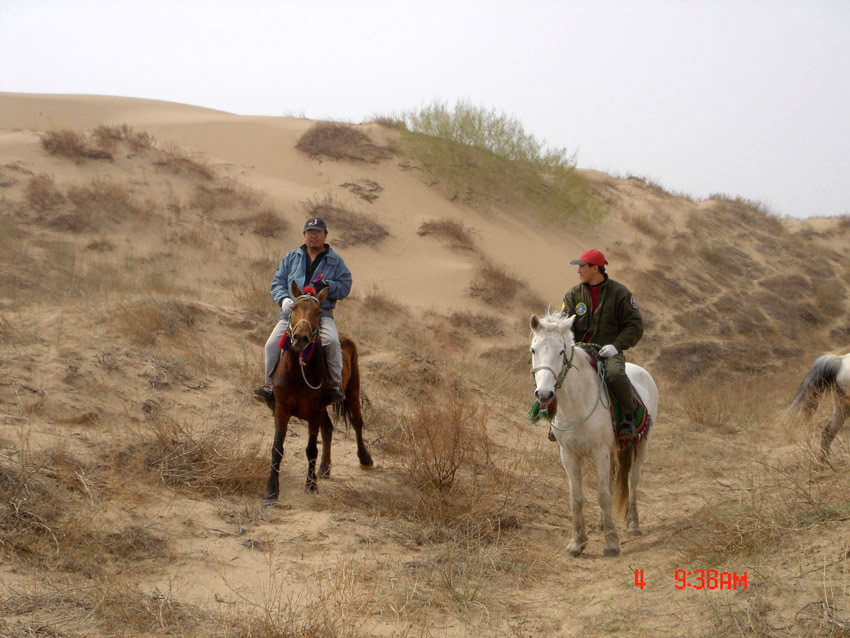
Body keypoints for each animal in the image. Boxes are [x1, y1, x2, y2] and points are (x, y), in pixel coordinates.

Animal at [264, 282, 372, 508]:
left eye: (318, 312)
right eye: (292, 308)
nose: (300, 339)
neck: (297, 372)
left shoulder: (313, 413)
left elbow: (311, 449)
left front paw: (311, 485)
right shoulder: (281, 410)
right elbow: (277, 448)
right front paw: (271, 492)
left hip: (352, 392)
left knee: (357, 423)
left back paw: (365, 458)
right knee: (329, 429)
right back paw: (324, 468)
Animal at [528, 312, 656, 556]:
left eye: (562, 351)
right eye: (533, 350)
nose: (545, 394)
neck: (577, 403)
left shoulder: (599, 453)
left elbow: (603, 495)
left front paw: (611, 543)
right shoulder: (569, 455)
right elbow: (577, 497)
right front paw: (577, 542)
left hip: (641, 444)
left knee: (633, 480)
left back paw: (633, 526)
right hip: (613, 451)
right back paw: (600, 524)